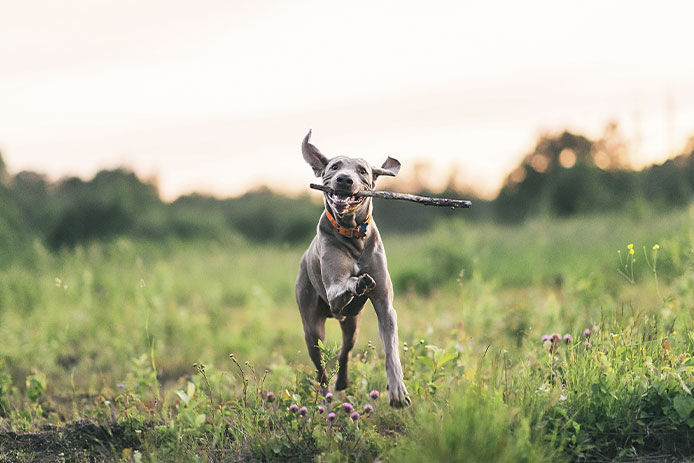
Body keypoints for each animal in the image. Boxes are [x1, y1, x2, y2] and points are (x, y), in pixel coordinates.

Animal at [294, 130, 414, 406]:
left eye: (362, 170)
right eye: (334, 166)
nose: (344, 179)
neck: (354, 234)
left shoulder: (385, 306)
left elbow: (391, 349)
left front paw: (397, 390)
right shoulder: (333, 292)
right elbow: (344, 283)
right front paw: (358, 281)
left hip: (352, 325)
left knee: (345, 351)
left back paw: (342, 381)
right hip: (311, 327)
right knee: (320, 369)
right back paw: (326, 398)